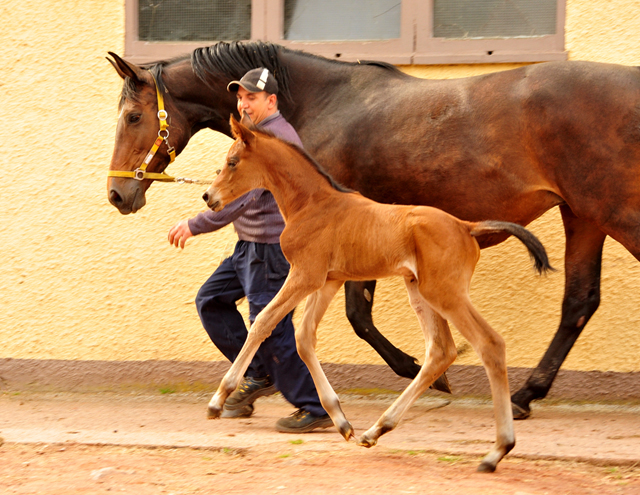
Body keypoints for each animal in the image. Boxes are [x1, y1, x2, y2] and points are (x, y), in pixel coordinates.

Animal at [107, 41, 640, 418]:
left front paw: (426, 374)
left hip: (614, 212)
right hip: (583, 215)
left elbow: (353, 315)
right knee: (579, 302)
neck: (318, 102)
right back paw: (527, 393)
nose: (117, 194)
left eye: (133, 116)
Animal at [202, 116, 552, 472]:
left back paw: (497, 451)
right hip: (421, 291)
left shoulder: (304, 275)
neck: (313, 204)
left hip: (445, 293)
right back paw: (377, 429)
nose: (208, 196)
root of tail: (467, 226)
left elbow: (264, 322)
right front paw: (341, 421)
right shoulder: (328, 281)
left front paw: (219, 400)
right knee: (441, 351)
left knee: (489, 344)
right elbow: (304, 337)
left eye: (233, 161)